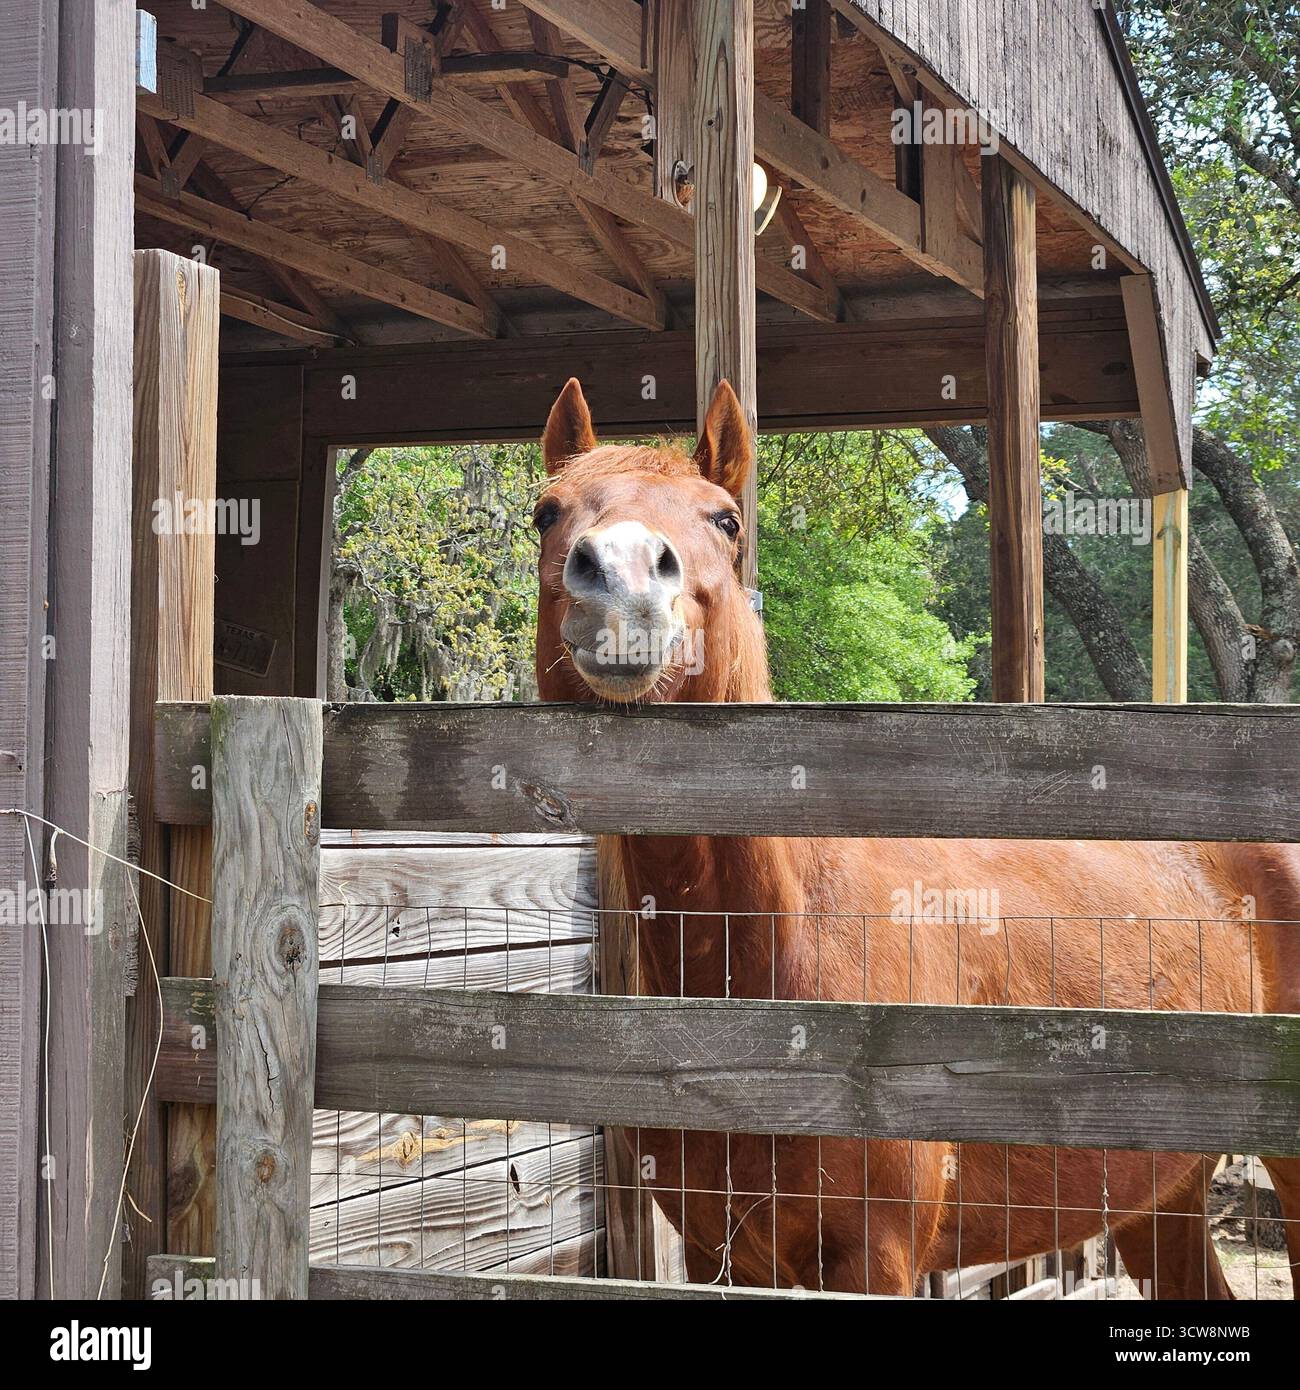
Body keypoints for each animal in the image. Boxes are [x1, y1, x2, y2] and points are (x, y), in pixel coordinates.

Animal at [531, 376, 1300, 1298]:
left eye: (725, 519)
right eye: (545, 513)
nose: (623, 581)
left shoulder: (878, 1260)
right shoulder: (729, 1259)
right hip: (1164, 1190)